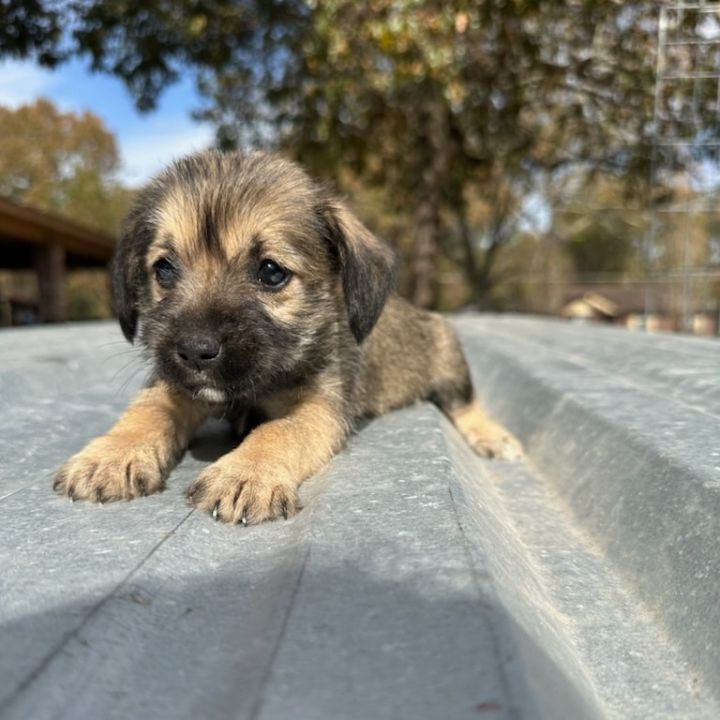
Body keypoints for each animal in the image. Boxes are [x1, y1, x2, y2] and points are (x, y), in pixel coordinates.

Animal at [53, 150, 520, 524]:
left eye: (271, 272)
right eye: (164, 269)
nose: (194, 351)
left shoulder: (320, 407)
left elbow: (279, 431)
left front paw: (245, 474)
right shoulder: (174, 384)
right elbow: (147, 410)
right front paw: (110, 455)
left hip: (447, 355)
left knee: (465, 402)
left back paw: (493, 436)